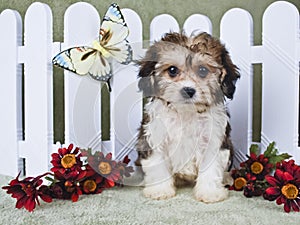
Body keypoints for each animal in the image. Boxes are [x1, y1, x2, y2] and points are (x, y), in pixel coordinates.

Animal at [135, 31, 239, 202]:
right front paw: (159, 190)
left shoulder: (213, 140)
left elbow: (211, 167)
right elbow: (158, 163)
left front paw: (210, 192)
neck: (186, 113)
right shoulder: (155, 136)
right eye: (172, 70)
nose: (188, 90)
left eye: (203, 70)